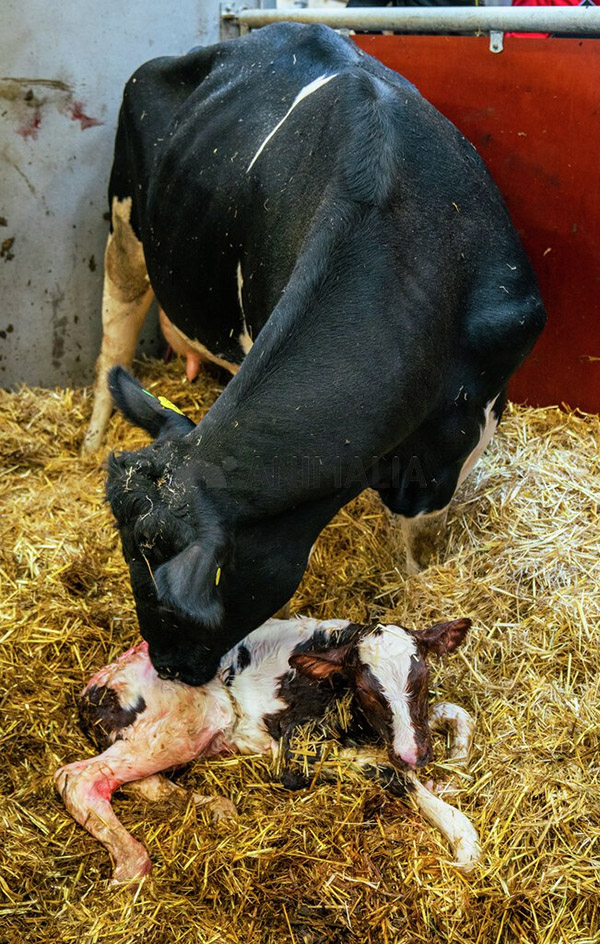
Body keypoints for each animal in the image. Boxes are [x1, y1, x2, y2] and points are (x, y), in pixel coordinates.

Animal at [55, 616, 478, 880]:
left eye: (422, 679)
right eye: (368, 691)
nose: (415, 754)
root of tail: (93, 687)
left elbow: (456, 713)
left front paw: (453, 767)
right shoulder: (296, 757)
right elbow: (391, 772)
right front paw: (463, 838)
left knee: (143, 781)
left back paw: (215, 807)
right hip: (196, 716)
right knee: (76, 779)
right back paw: (132, 865)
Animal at [83, 24, 544, 684]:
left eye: (189, 593)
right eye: (125, 558)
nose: (166, 666)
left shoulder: (472, 412)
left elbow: (420, 516)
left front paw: (415, 579)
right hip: (125, 222)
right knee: (115, 327)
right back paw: (94, 432)